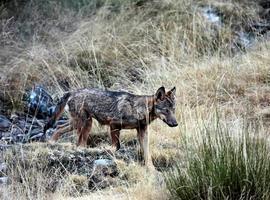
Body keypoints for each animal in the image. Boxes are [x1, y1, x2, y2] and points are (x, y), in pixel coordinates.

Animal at [44, 86, 178, 166]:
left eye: (173, 110)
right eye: (166, 110)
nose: (176, 124)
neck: (137, 109)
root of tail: (73, 91)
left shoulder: (142, 132)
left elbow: (147, 154)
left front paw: (151, 169)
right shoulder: (113, 125)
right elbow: (116, 146)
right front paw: (109, 151)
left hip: (78, 124)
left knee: (59, 129)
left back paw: (52, 143)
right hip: (84, 124)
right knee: (77, 142)